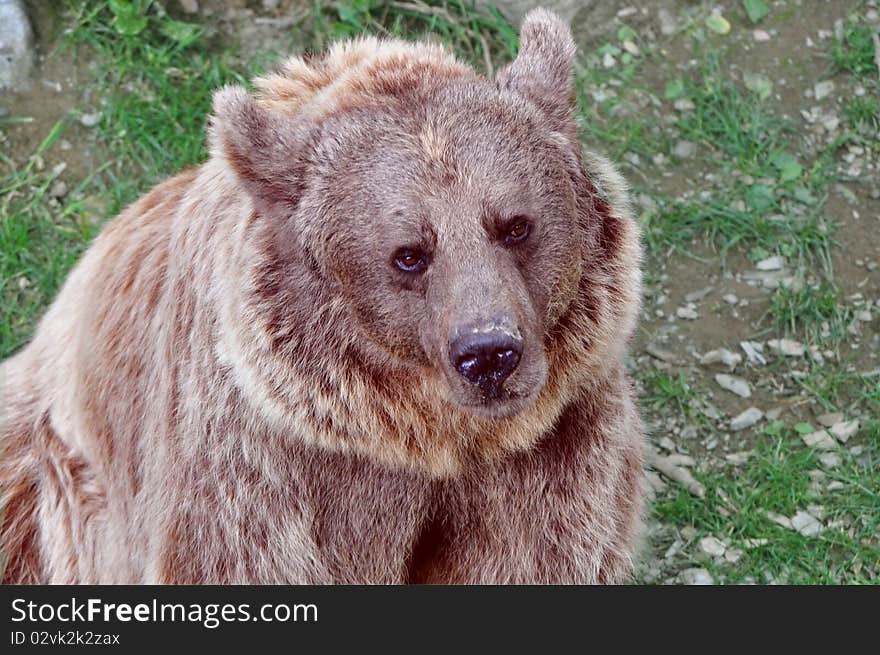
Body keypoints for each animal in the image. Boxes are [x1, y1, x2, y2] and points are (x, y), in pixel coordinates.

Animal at [0, 9, 648, 584]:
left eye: (515, 225)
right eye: (409, 253)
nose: (489, 354)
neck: (426, 441)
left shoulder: (550, 450)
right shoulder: (264, 466)